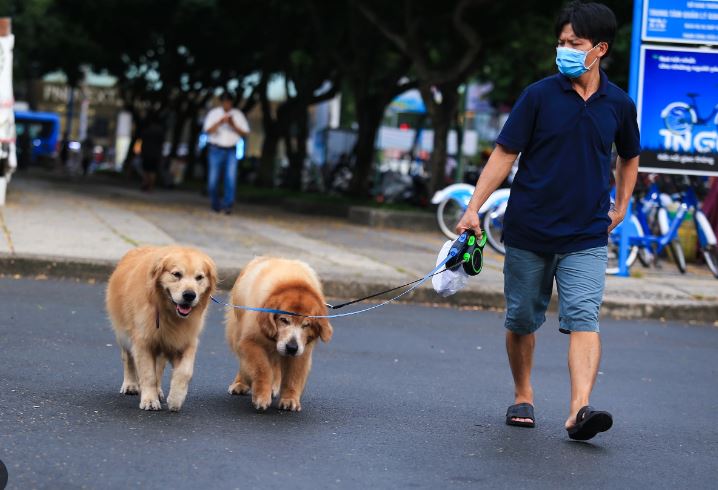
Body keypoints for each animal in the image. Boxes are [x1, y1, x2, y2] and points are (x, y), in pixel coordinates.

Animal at [105, 247, 217, 412]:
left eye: (199, 277)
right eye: (177, 274)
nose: (190, 295)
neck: (168, 312)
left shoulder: (186, 341)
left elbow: (185, 372)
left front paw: (175, 398)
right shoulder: (143, 342)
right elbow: (148, 374)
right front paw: (150, 400)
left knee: (159, 367)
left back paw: (158, 391)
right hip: (123, 333)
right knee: (128, 358)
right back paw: (131, 384)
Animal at [226, 258, 334, 412]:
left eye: (306, 325)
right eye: (284, 320)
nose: (292, 347)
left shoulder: (302, 350)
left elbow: (293, 376)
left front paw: (289, 398)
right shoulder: (250, 342)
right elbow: (262, 369)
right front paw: (262, 395)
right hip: (236, 333)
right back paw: (241, 383)